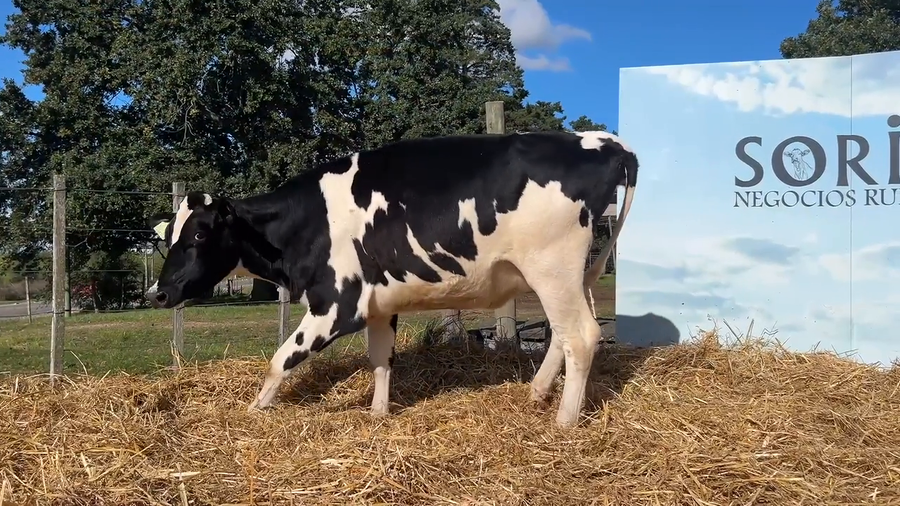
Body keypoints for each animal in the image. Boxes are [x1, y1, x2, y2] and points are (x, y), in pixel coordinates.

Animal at [145, 130, 638, 428]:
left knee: (581, 336)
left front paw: (252, 410)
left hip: (553, 269)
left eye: (200, 233)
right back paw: (537, 393)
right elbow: (380, 359)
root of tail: (603, 141)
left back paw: (564, 420)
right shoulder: (379, 304)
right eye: (168, 235)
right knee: (564, 334)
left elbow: (280, 360)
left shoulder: (336, 305)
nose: (159, 293)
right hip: (575, 275)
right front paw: (379, 414)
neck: (306, 222)